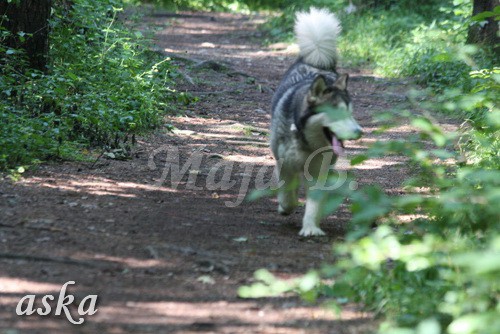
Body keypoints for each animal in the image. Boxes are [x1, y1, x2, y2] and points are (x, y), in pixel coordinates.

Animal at [270, 8, 364, 237]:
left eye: (351, 113)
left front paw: (311, 227)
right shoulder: (284, 162)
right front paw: (286, 207)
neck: (306, 141)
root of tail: (316, 61)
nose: (360, 132)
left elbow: (314, 201)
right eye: (336, 113)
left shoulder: (319, 171)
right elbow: (288, 193)